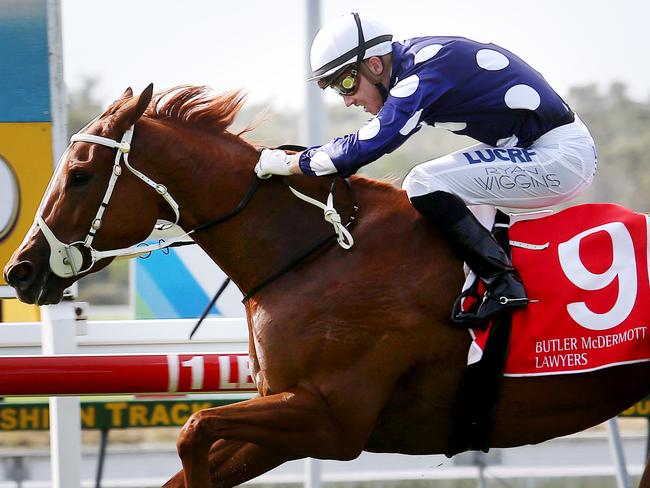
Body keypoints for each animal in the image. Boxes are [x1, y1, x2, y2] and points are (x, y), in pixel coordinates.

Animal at [5, 86, 648, 486]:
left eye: (80, 174)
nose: (21, 271)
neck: (314, 252)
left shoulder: (331, 419)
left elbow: (193, 428)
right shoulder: (289, 416)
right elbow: (189, 454)